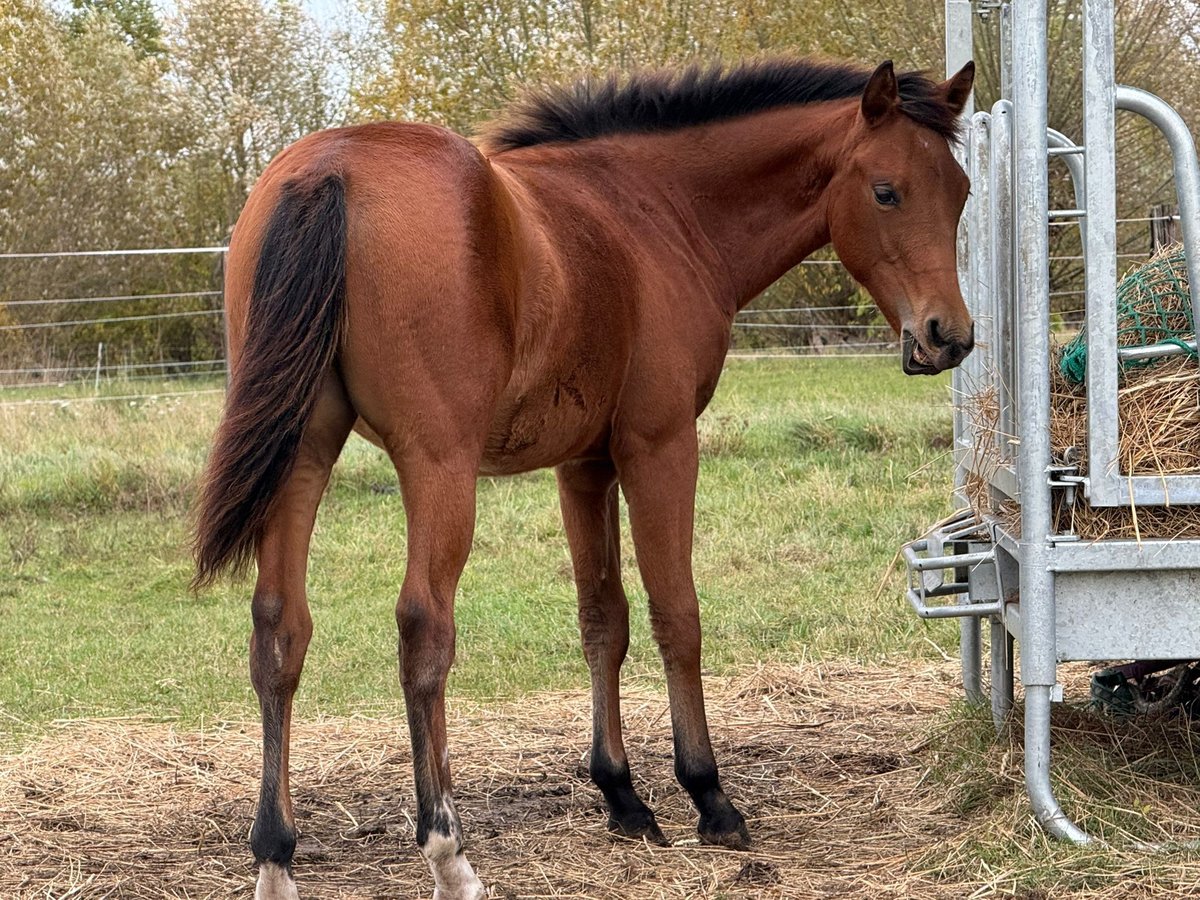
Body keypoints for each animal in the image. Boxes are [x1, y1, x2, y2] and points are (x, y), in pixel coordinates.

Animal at [192, 56, 975, 900]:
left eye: (961, 190)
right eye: (887, 191)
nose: (950, 336)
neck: (655, 211)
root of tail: (328, 169)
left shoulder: (584, 464)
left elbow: (604, 619)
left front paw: (623, 795)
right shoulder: (660, 446)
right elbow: (676, 614)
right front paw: (709, 796)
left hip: (302, 454)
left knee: (279, 630)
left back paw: (276, 855)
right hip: (438, 465)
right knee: (423, 628)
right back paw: (448, 852)